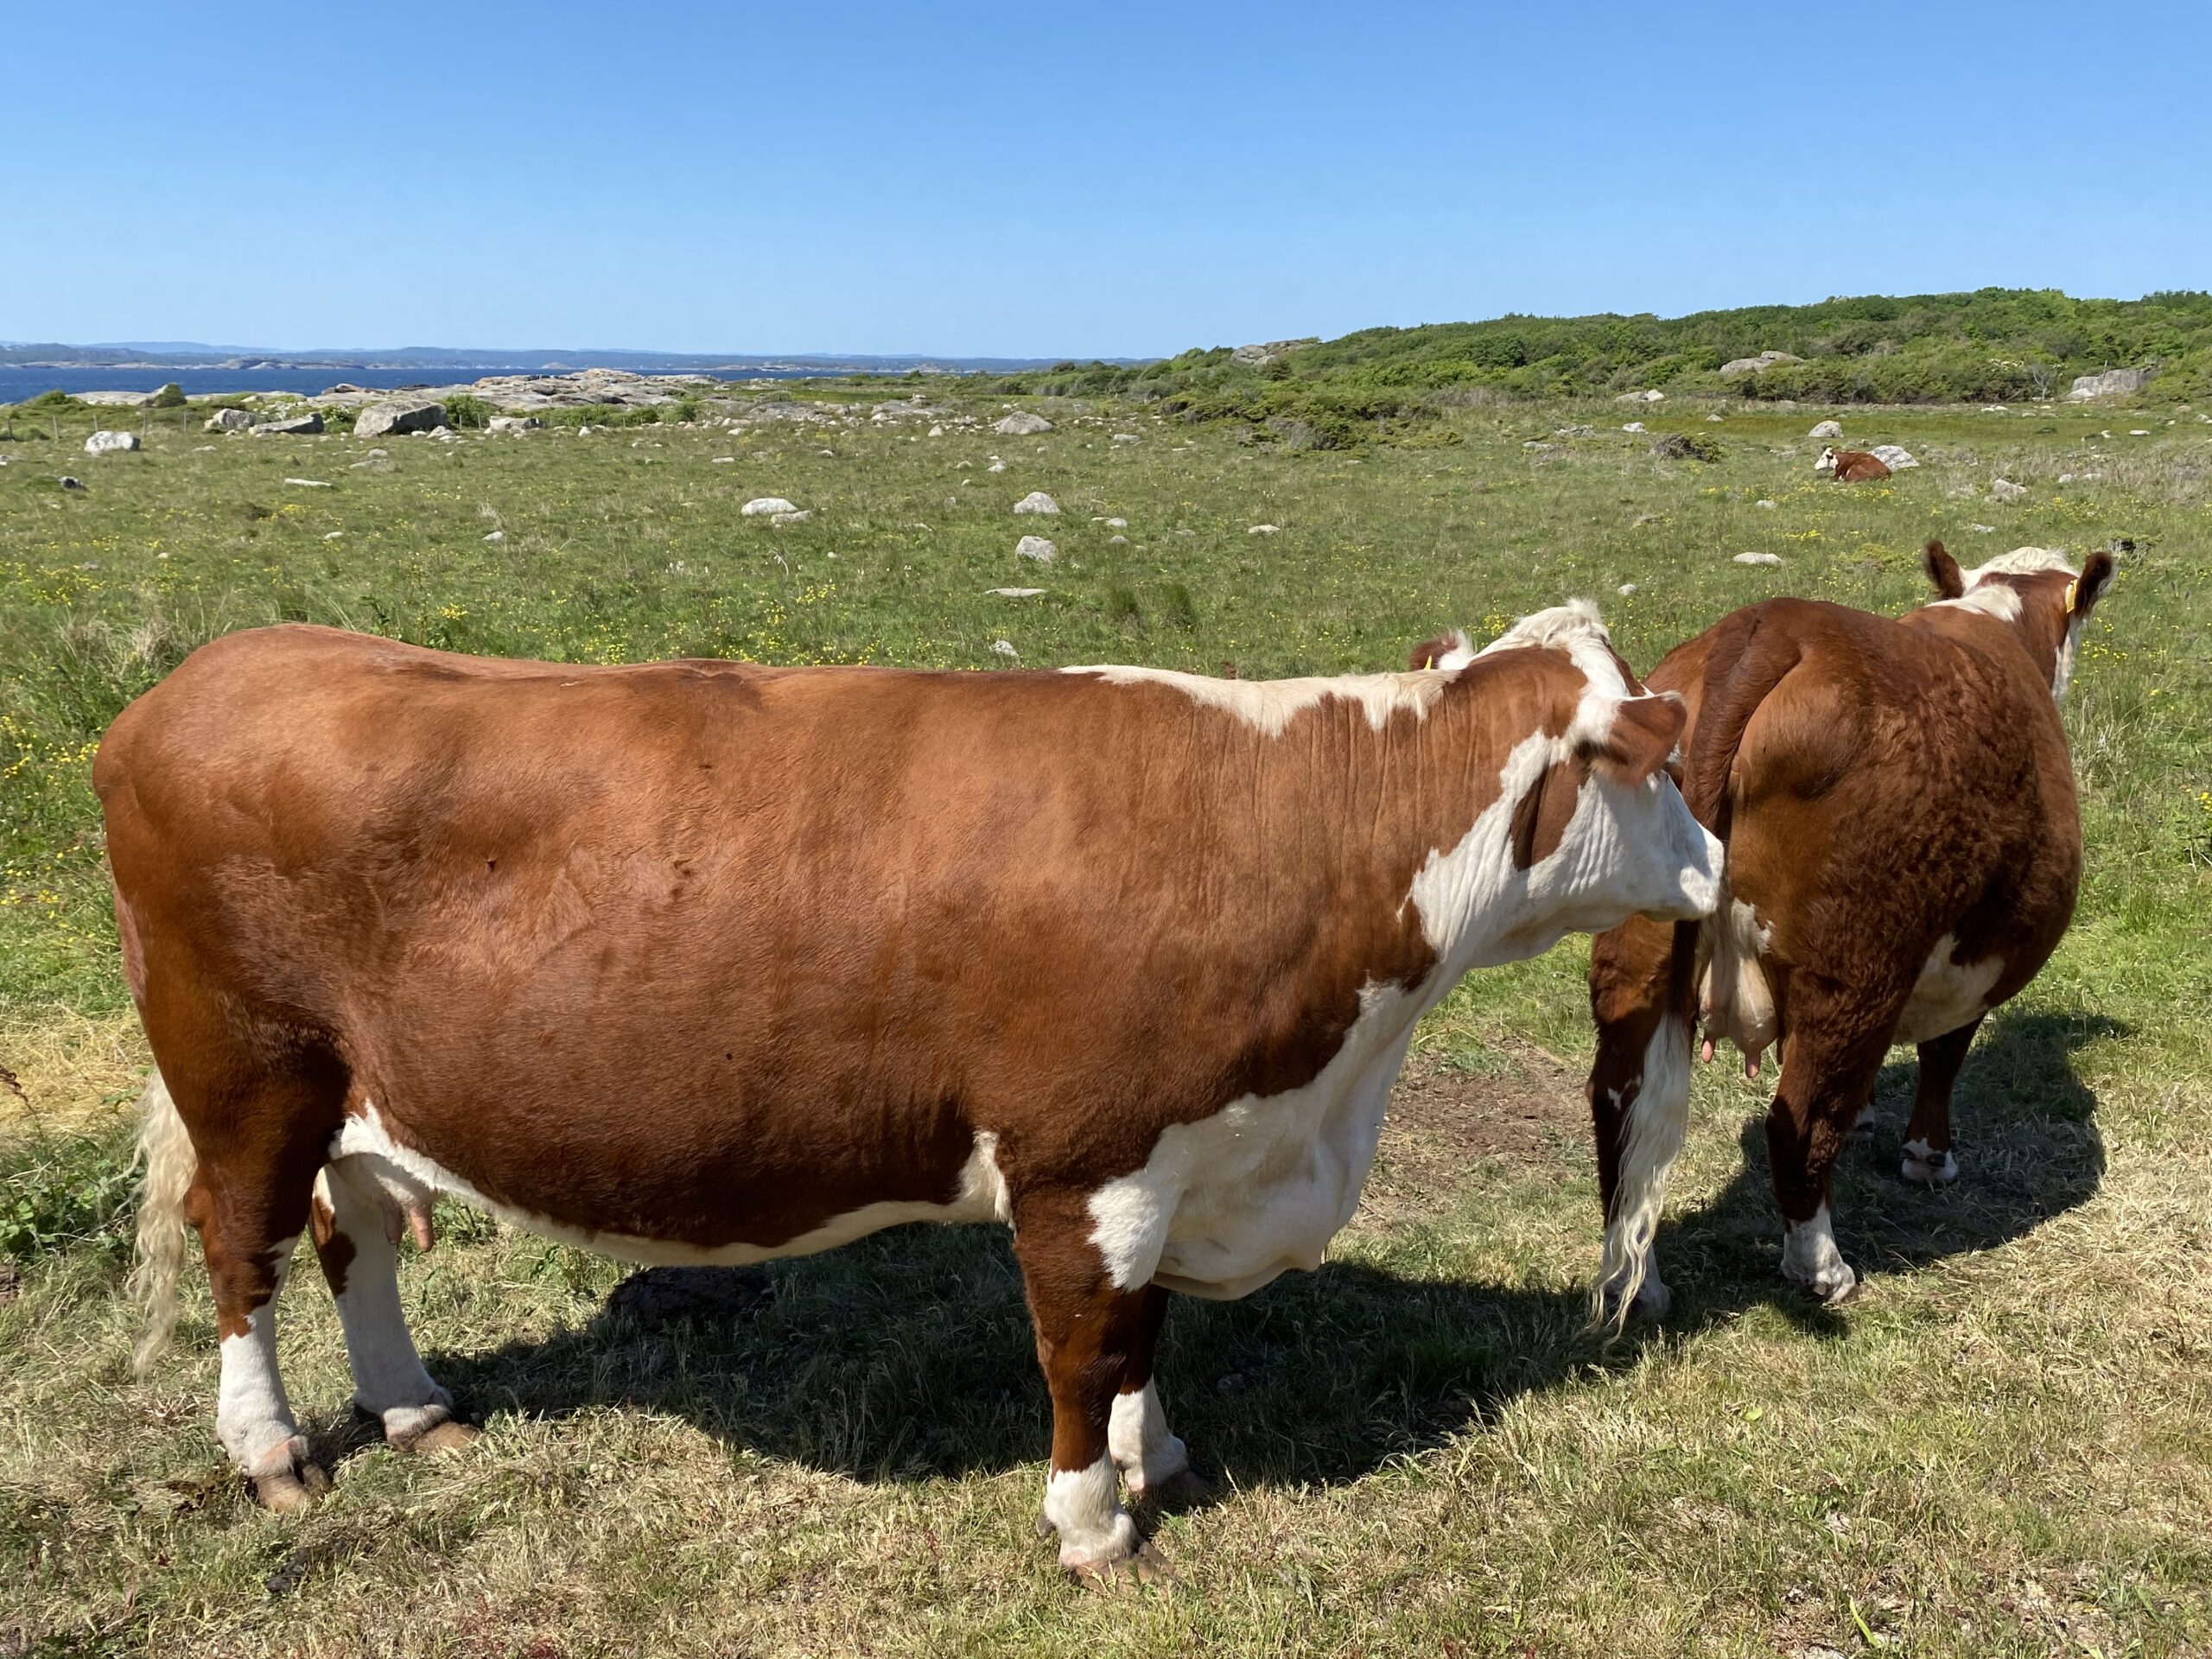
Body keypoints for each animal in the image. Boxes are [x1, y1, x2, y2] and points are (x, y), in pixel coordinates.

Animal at [104, 610, 1716, 1583]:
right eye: (1665, 766)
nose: (1713, 869)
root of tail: (218, 666)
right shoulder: (1086, 1159)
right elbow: (1085, 1348)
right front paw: (1092, 1525)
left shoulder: (1189, 1149)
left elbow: (1145, 1338)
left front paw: (1156, 1462)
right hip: (246, 1070)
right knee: (242, 1248)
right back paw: (270, 1454)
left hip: (362, 1094)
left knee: (355, 1239)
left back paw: (413, 1407)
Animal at [1583, 539, 2114, 1318]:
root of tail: (1771, 626)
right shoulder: (1965, 961)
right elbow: (1945, 1054)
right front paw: (1927, 1156)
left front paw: (1868, 1116)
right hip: (1859, 964)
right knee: (1797, 1118)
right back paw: (1822, 1268)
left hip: (1637, 953)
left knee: (1621, 1104)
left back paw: (1637, 1280)